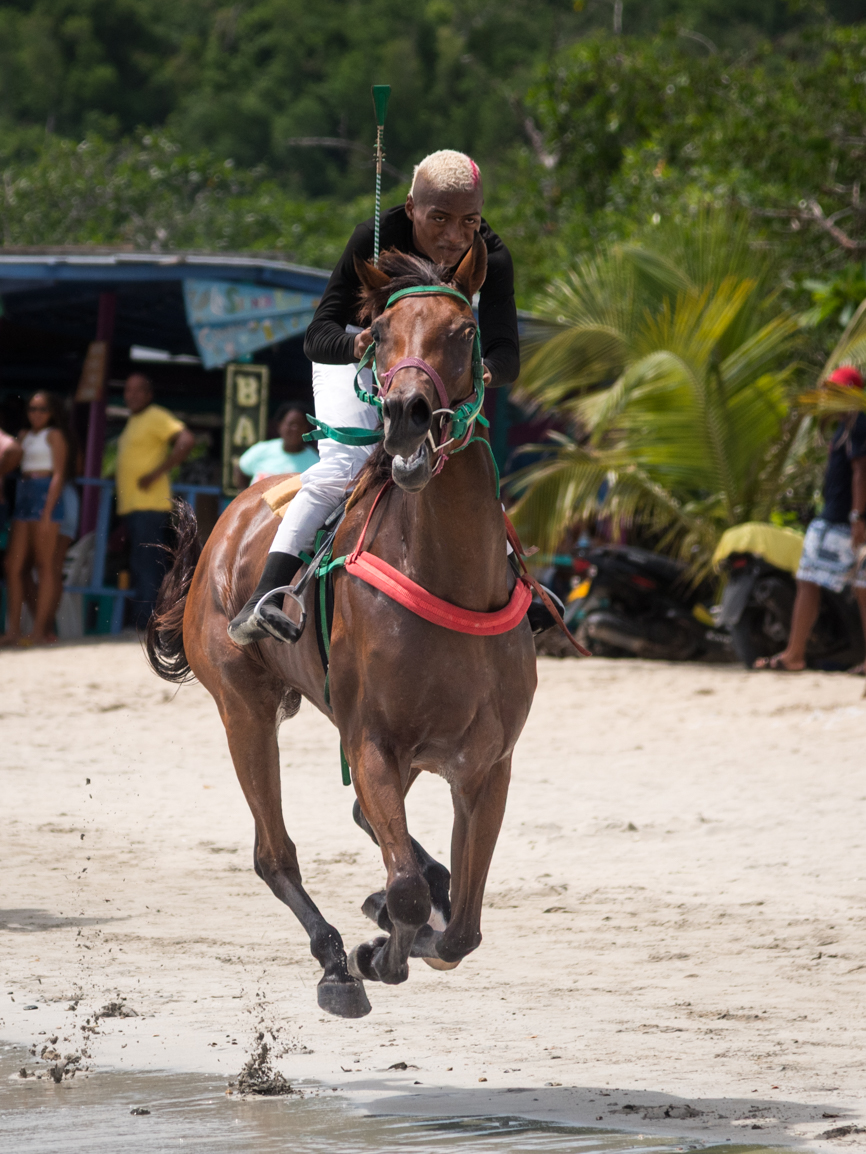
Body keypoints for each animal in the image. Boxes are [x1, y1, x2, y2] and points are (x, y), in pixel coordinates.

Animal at [145, 236, 537, 1019]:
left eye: (465, 332)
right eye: (378, 335)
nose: (407, 415)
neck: (448, 574)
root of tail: (232, 519)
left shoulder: (487, 765)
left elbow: (462, 927)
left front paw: (408, 928)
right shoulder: (373, 743)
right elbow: (409, 891)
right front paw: (375, 951)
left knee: (377, 835)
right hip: (244, 710)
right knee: (276, 853)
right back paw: (333, 959)